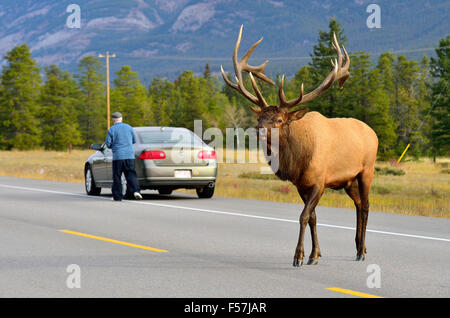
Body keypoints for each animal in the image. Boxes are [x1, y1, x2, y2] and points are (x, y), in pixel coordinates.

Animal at [221, 26, 380, 268]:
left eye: (279, 120)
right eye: (259, 118)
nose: (257, 130)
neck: (297, 160)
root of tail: (373, 133)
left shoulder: (319, 182)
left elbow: (304, 216)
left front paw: (298, 256)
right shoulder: (300, 184)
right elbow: (313, 217)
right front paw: (314, 254)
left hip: (366, 171)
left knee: (366, 206)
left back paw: (361, 251)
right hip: (348, 181)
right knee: (358, 204)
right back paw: (359, 246)